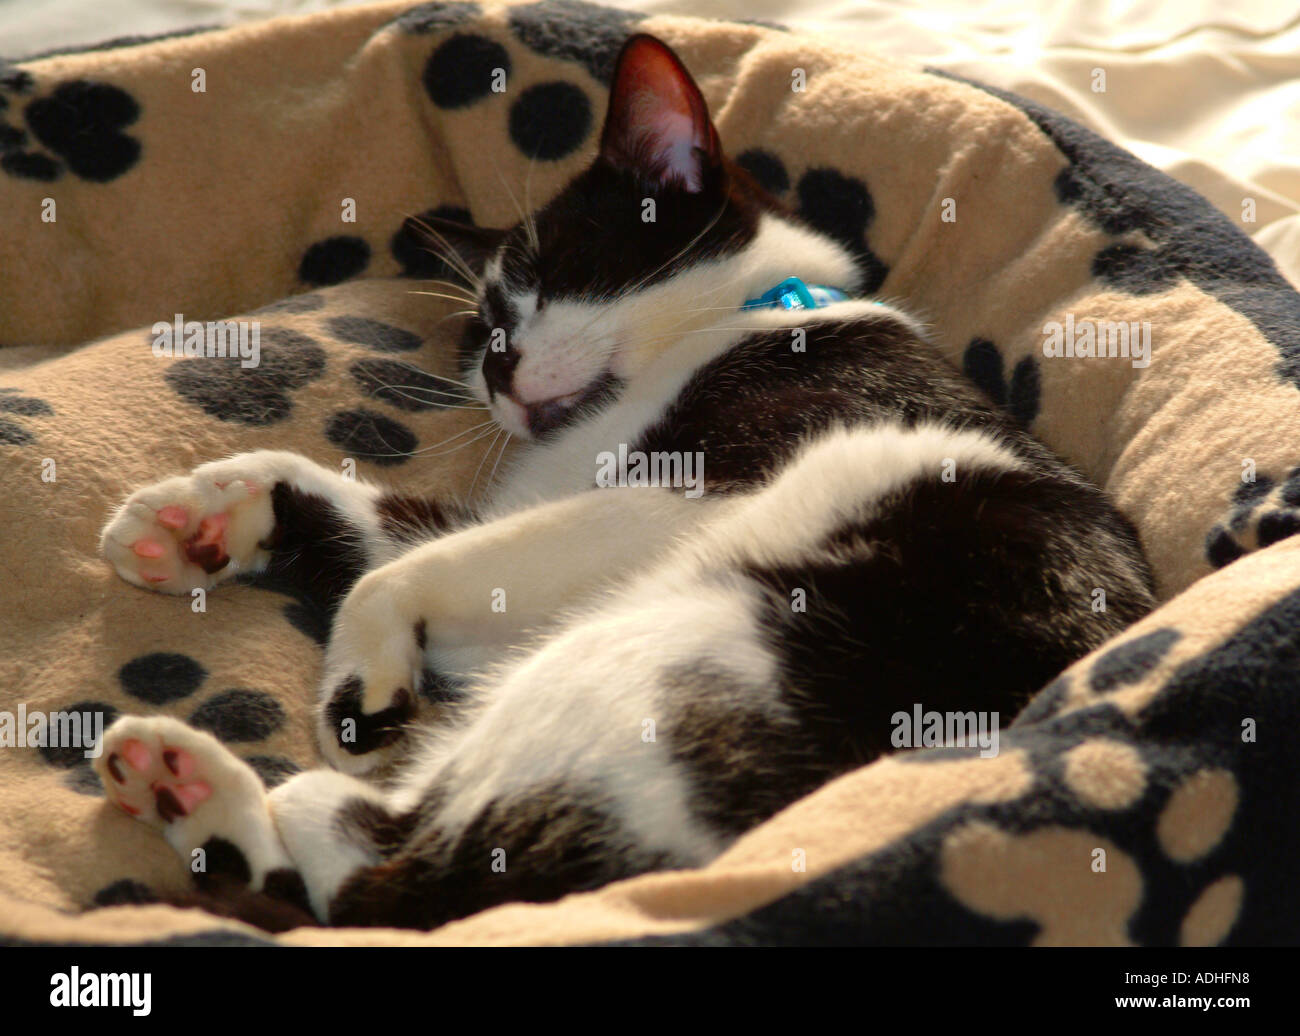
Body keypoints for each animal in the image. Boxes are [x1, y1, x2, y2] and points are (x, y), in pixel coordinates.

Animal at [91, 32, 1154, 930]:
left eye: (550, 275)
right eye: (481, 331)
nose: (498, 369)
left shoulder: (705, 488)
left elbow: (396, 571)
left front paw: (363, 678)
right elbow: (384, 521)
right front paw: (195, 519)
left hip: (686, 641)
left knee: (374, 867)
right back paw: (177, 780)